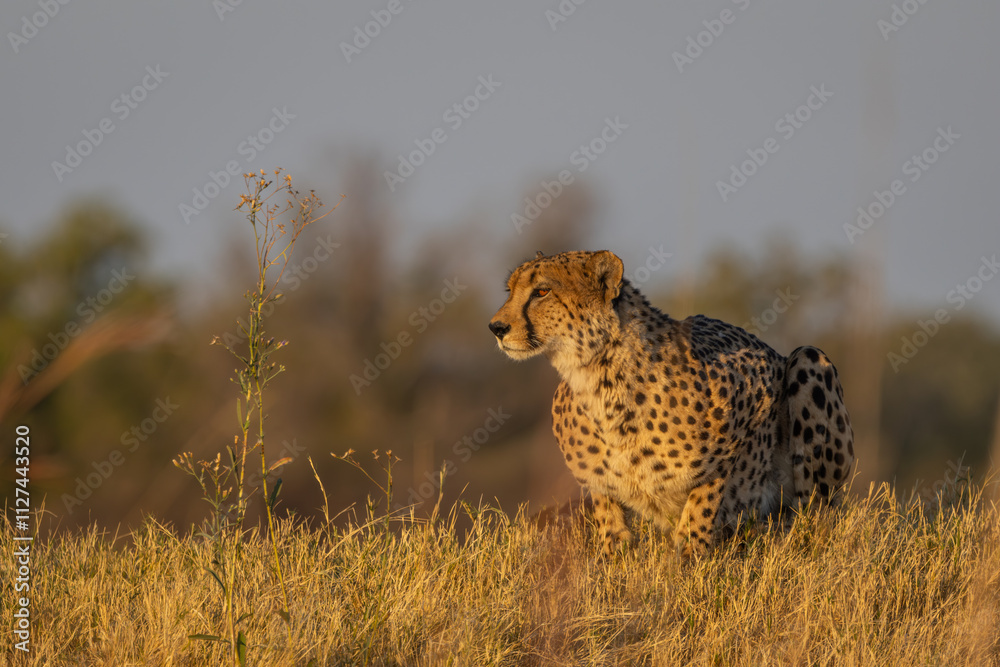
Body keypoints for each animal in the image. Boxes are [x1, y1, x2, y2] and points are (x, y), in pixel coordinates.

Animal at [489, 250, 855, 557]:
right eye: (510, 290)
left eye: (542, 292)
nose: (496, 327)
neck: (598, 379)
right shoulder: (599, 485)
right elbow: (612, 532)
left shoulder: (745, 405)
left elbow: (704, 502)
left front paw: (689, 557)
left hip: (808, 360)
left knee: (813, 516)